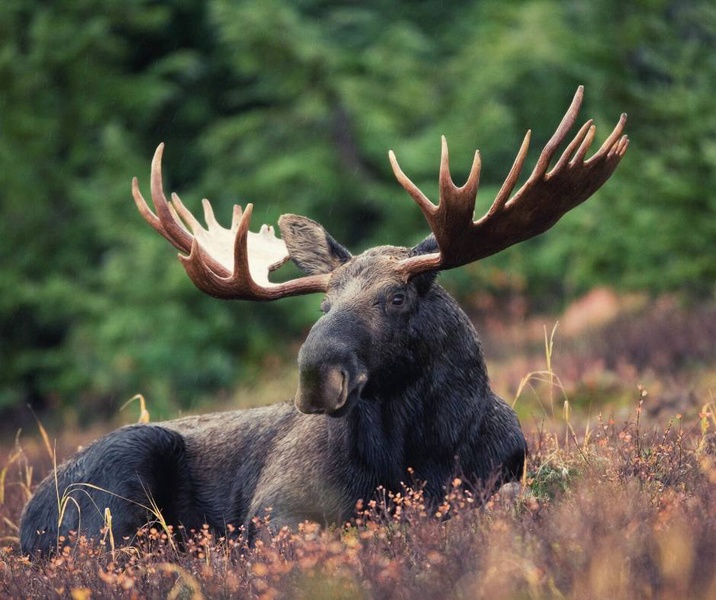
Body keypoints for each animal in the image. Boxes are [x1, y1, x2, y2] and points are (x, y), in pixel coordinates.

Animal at [19, 86, 628, 556]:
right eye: (323, 305)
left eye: (397, 298)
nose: (316, 376)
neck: (421, 452)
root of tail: (25, 523)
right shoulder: (276, 509)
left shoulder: (501, 476)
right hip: (116, 487)